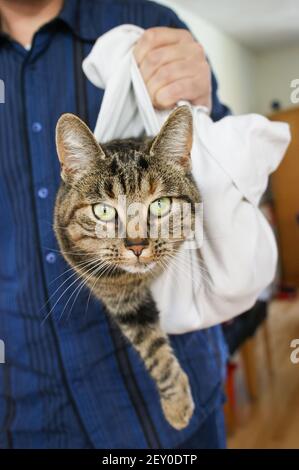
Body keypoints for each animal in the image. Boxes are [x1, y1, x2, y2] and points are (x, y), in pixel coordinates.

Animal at [54, 105, 202, 430]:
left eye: (160, 204)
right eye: (103, 210)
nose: (136, 245)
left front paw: (177, 404)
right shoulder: (121, 299)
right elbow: (153, 351)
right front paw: (177, 403)